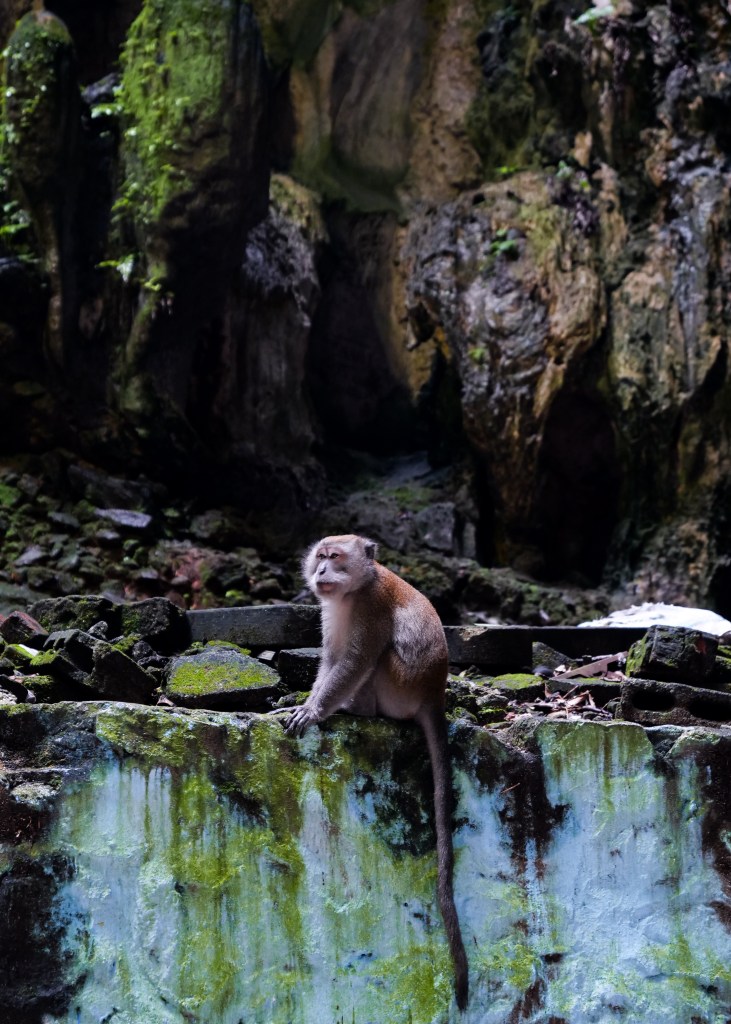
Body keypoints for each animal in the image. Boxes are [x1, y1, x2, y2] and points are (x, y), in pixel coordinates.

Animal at [285, 534, 469, 1011]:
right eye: (320, 557)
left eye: (335, 558)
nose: (321, 572)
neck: (355, 589)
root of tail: (433, 696)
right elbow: (331, 659)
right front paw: (309, 702)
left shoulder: (370, 608)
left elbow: (352, 661)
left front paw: (315, 711)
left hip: (399, 685)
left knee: (375, 659)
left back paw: (356, 710)